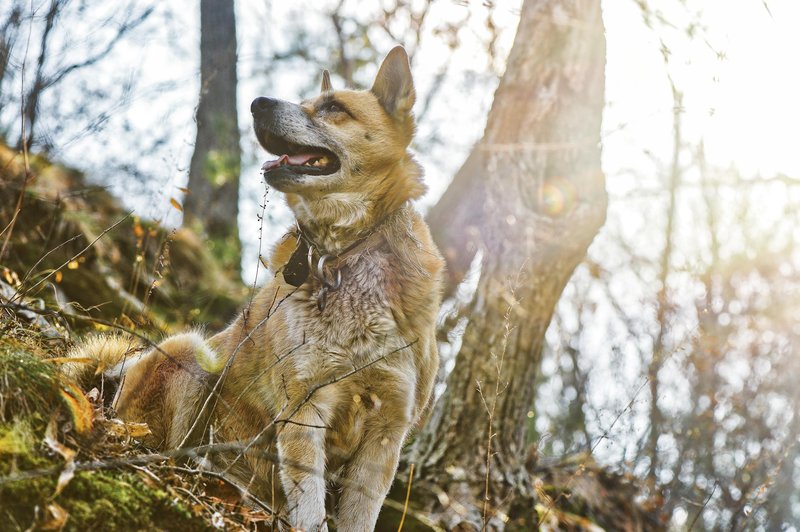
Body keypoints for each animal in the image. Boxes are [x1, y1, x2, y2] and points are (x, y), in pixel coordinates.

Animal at [64, 46, 444, 532]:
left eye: (333, 108)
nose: (258, 102)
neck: (340, 257)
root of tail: (110, 379)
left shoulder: (386, 433)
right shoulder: (304, 408)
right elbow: (311, 509)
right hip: (193, 354)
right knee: (168, 448)